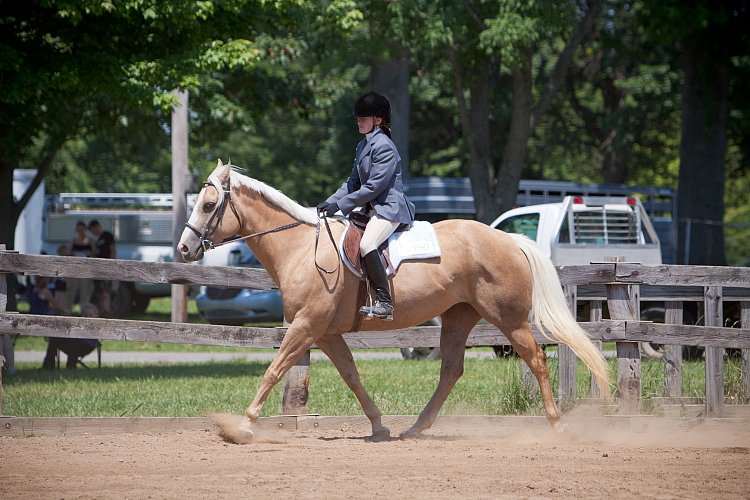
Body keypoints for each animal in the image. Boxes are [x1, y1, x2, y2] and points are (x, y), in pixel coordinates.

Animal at [181, 160, 612, 442]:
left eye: (208, 205)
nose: (185, 249)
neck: (301, 247)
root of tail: (508, 238)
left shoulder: (305, 326)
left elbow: (273, 371)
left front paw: (242, 425)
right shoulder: (325, 333)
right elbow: (352, 376)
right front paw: (379, 425)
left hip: (509, 319)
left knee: (535, 360)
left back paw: (556, 424)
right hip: (459, 317)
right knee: (451, 370)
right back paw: (415, 428)